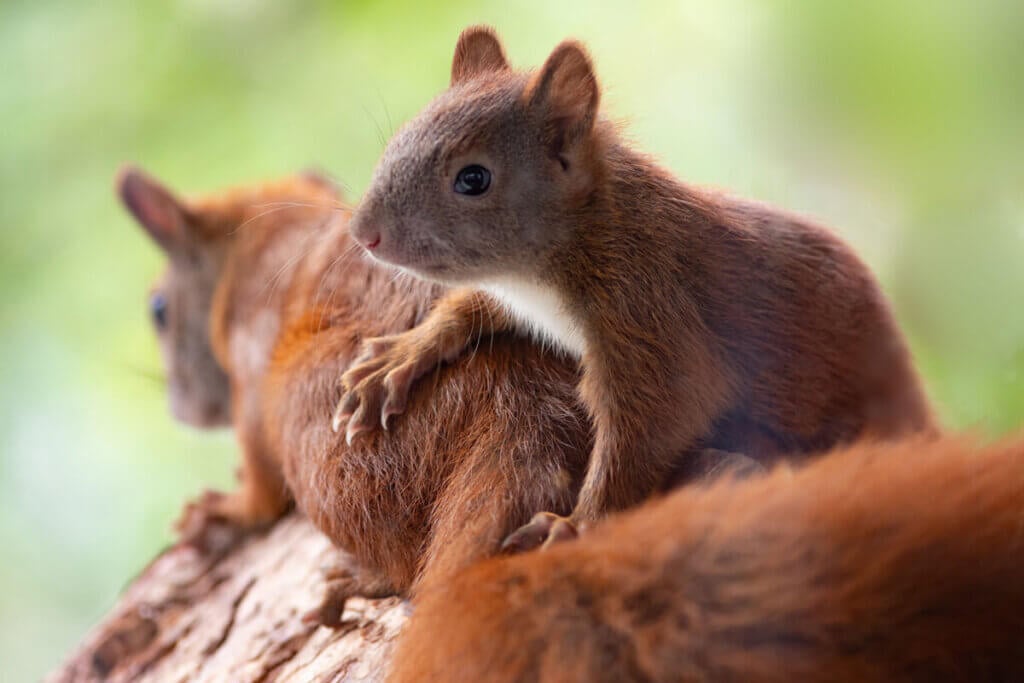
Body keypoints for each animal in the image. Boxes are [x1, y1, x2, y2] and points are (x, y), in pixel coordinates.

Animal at [119, 167, 760, 622]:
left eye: (158, 309)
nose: (182, 408)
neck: (251, 242)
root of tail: (523, 414)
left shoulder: (253, 377)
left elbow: (260, 484)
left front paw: (226, 508)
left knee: (404, 565)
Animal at [333, 26, 936, 548]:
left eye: (473, 179)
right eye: (400, 136)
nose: (364, 234)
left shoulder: (649, 313)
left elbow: (646, 431)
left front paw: (575, 526)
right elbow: (469, 306)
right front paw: (401, 356)